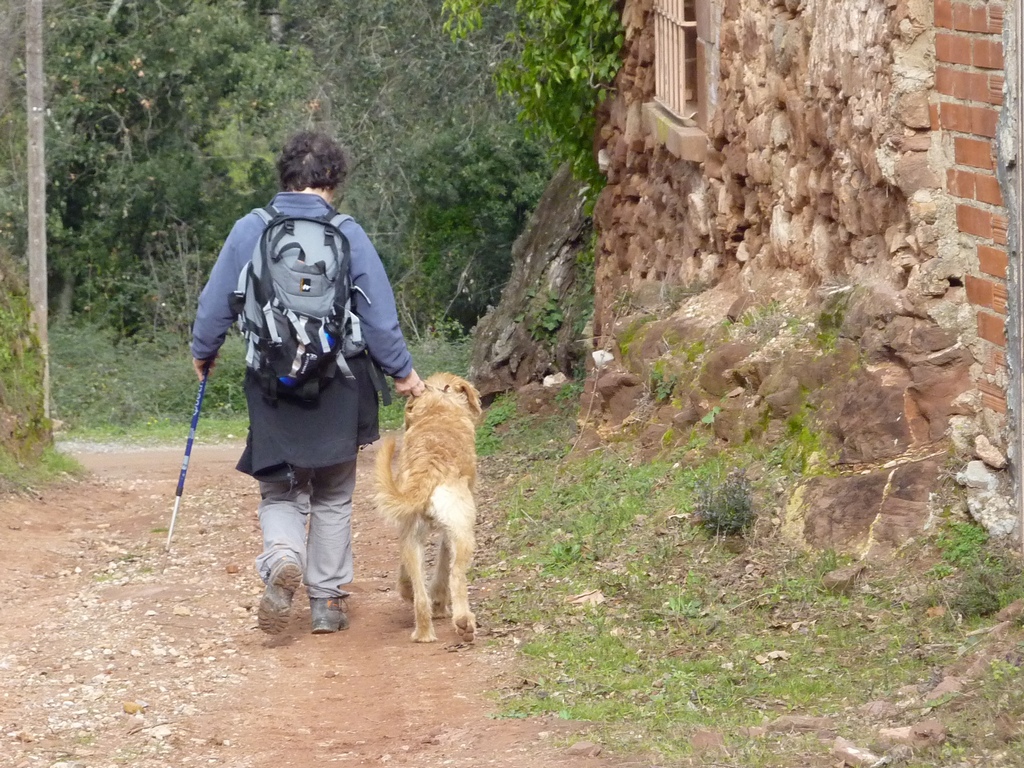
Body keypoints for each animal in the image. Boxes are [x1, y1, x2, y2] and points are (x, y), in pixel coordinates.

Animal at [374, 372, 482, 643]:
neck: (439, 405)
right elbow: (444, 565)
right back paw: (463, 622)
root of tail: (429, 468)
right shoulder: (450, 533)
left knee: (420, 597)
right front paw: (441, 604)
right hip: (463, 532)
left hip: (411, 535)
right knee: (456, 576)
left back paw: (423, 632)